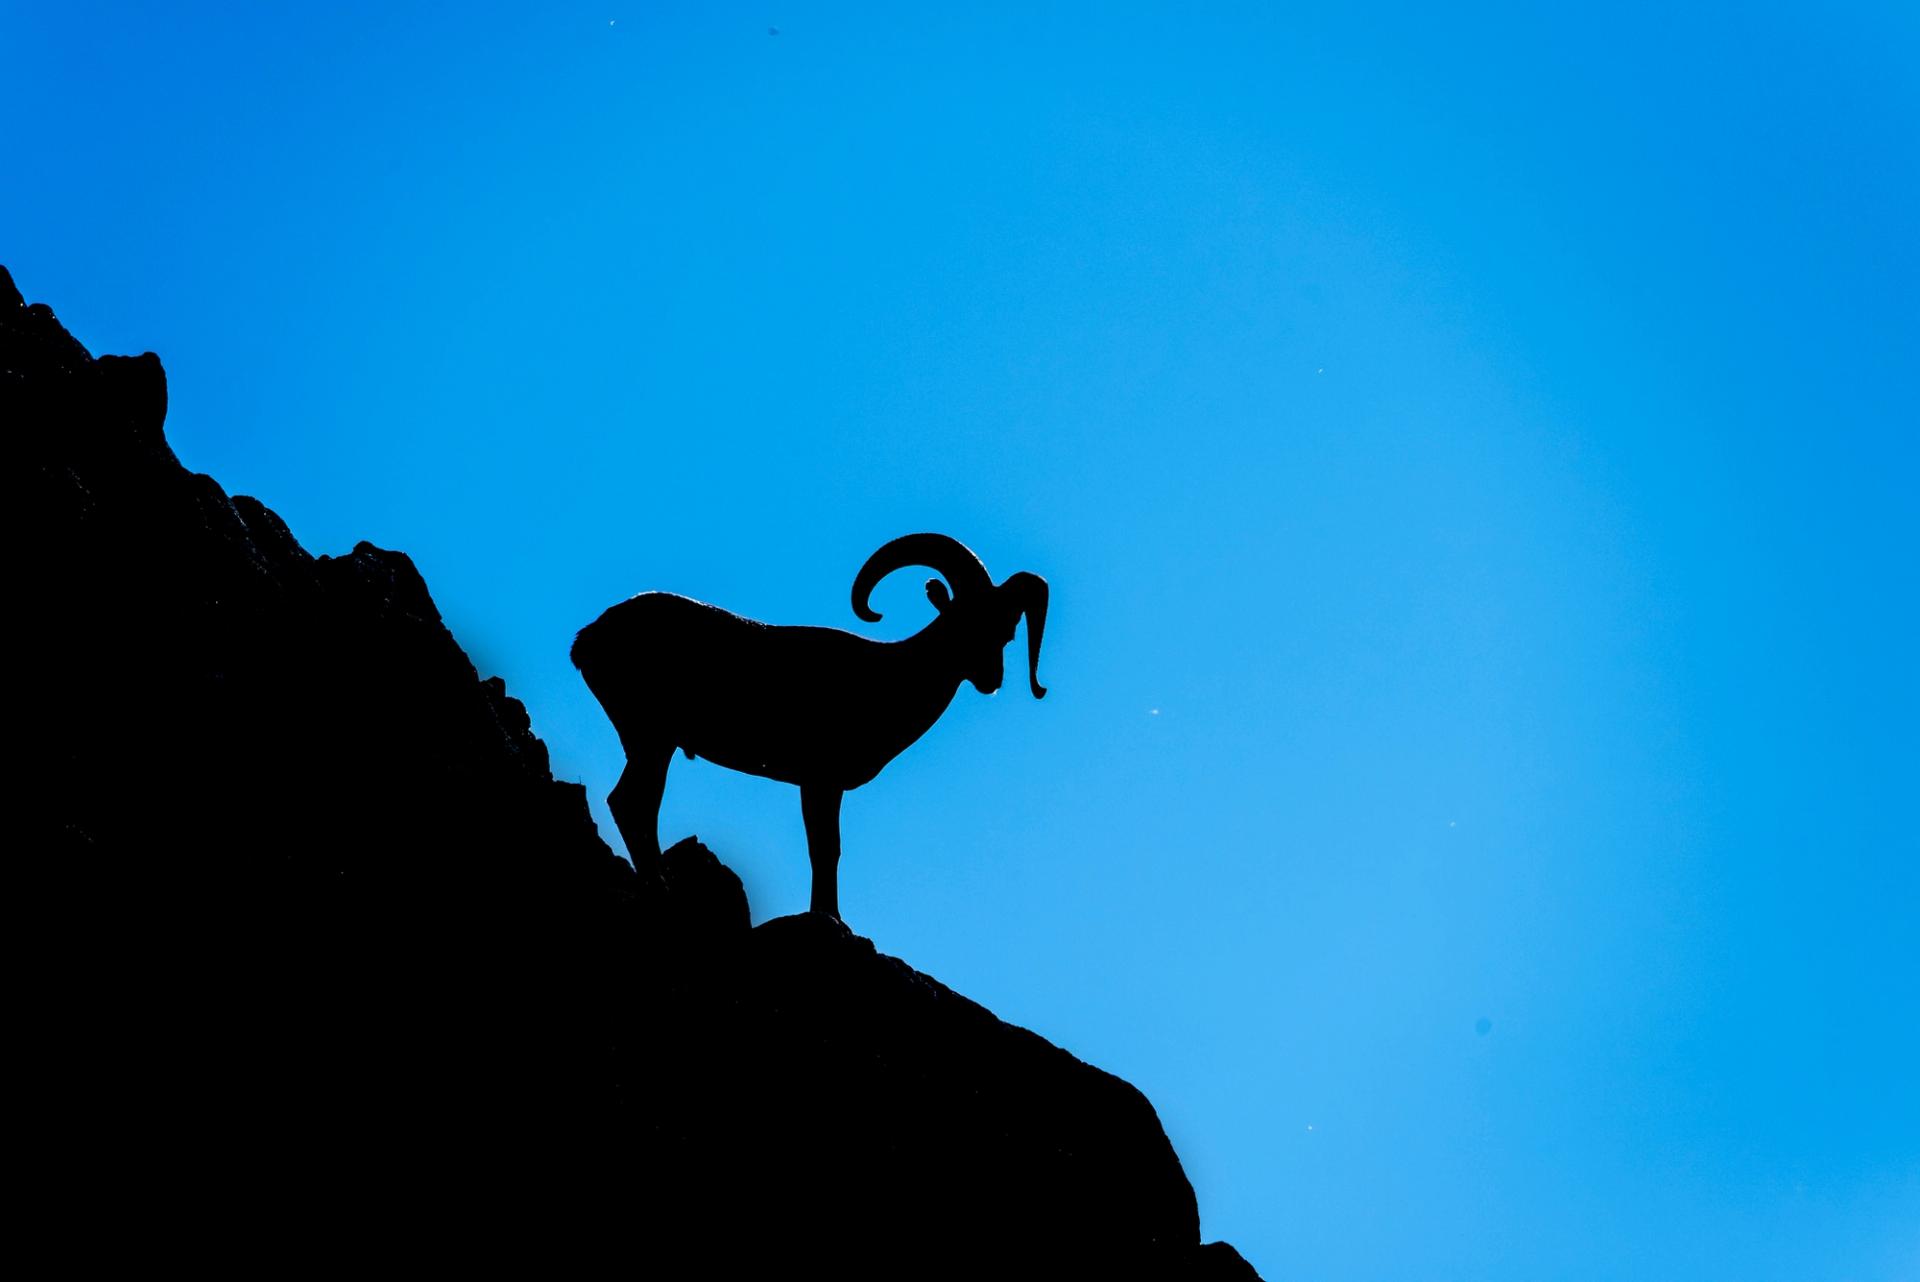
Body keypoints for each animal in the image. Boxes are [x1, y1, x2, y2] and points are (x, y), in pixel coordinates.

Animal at [570, 533, 1049, 920]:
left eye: (1006, 632)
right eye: (963, 621)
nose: (991, 679)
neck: (890, 679)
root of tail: (587, 639)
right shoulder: (820, 780)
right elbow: (825, 849)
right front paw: (830, 916)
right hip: (652, 737)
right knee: (632, 802)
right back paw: (660, 888)